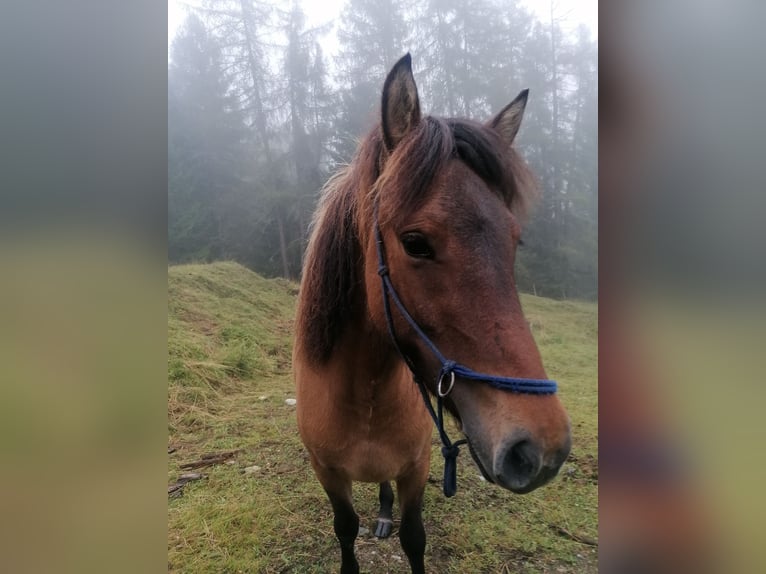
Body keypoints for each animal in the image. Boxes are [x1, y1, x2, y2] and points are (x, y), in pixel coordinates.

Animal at [293, 53, 571, 574]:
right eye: (415, 243)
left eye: (515, 241)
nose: (541, 448)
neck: (363, 396)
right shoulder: (328, 473)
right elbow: (345, 530)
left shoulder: (417, 468)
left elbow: (413, 536)